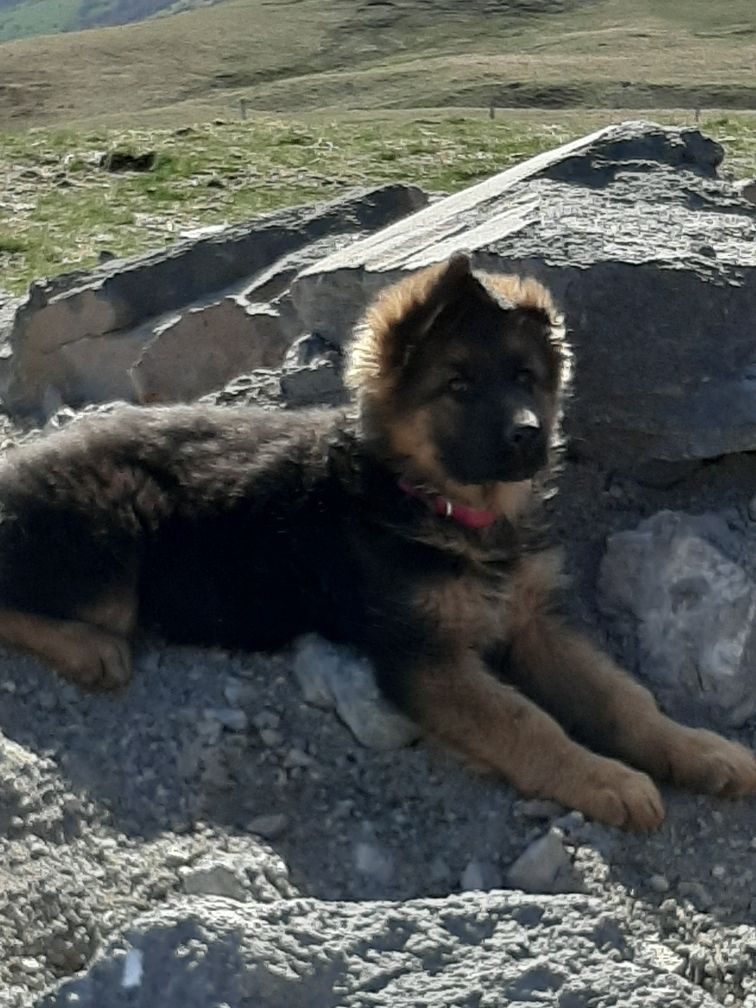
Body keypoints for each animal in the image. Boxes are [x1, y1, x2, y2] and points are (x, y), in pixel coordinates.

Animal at [1, 252, 756, 826]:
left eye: (525, 379)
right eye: (458, 386)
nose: (529, 438)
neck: (444, 508)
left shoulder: (537, 620)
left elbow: (623, 697)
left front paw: (701, 751)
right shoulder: (426, 657)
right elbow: (526, 721)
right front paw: (606, 779)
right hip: (112, 546)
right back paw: (91, 649)